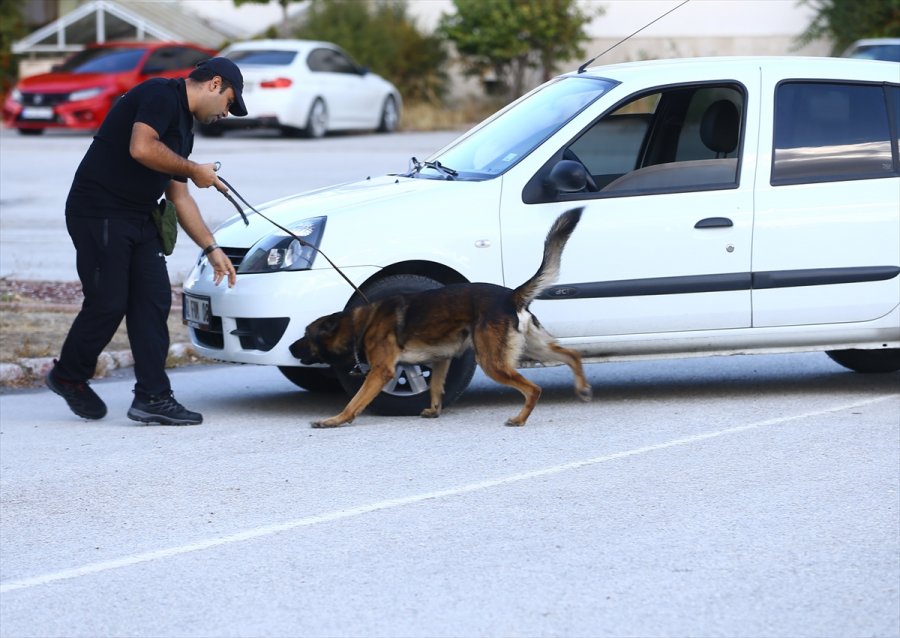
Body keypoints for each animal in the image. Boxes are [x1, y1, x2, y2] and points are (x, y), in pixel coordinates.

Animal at [290, 209, 592, 430]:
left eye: (306, 334)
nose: (291, 347)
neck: (360, 324)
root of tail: (511, 296)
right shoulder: (440, 359)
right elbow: (435, 387)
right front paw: (434, 410)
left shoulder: (381, 371)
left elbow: (355, 401)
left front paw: (335, 420)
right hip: (534, 346)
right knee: (572, 355)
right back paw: (583, 388)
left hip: (493, 361)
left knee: (534, 389)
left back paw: (520, 418)